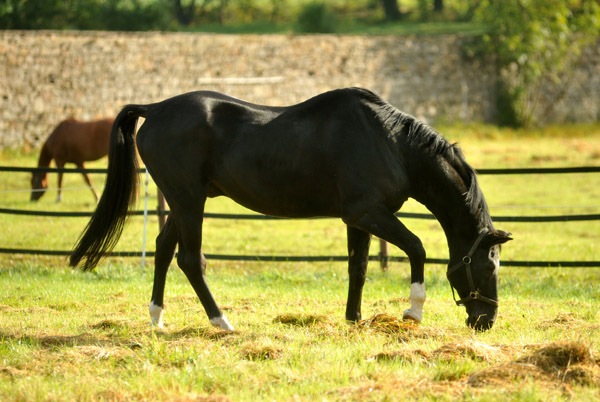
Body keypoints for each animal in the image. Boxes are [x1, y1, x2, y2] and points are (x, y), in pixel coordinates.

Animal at [69, 89, 510, 332]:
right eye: (487, 266)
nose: (485, 321)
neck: (390, 142)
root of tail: (155, 108)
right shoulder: (368, 213)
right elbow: (417, 247)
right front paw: (414, 311)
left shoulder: (359, 218)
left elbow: (358, 266)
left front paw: (353, 319)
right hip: (189, 201)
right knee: (191, 260)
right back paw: (221, 322)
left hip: (183, 203)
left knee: (163, 249)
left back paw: (157, 319)